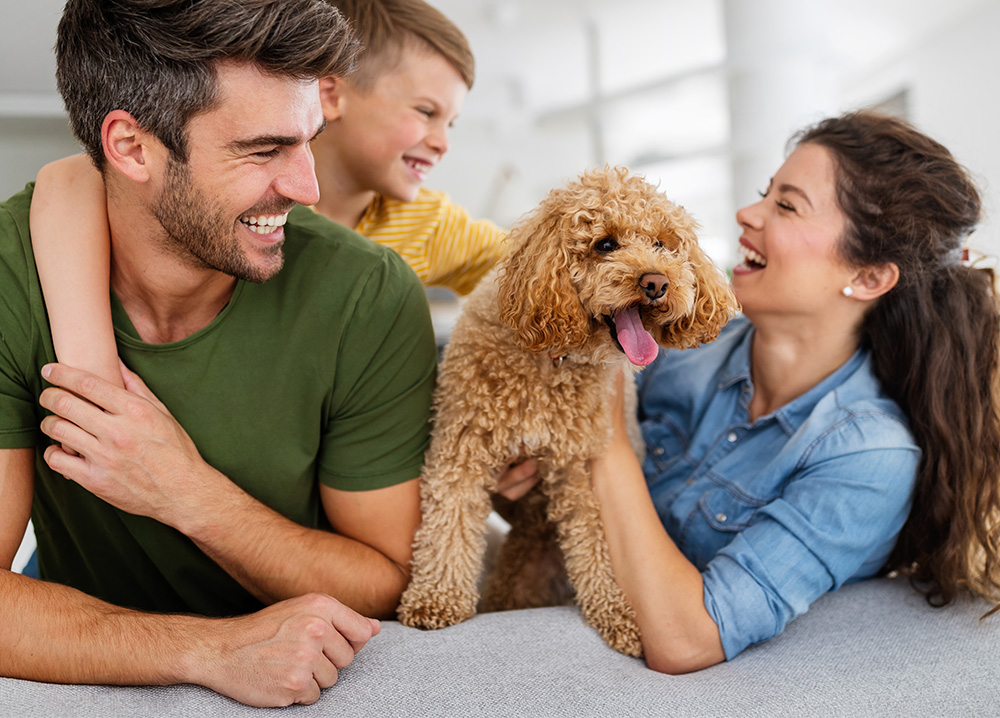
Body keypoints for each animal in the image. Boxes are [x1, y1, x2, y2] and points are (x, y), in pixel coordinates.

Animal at [396, 167, 736, 660]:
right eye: (605, 244)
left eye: (663, 244)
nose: (657, 282)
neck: (554, 360)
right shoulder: (462, 448)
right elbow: (447, 526)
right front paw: (436, 598)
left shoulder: (579, 472)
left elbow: (596, 547)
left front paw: (616, 615)